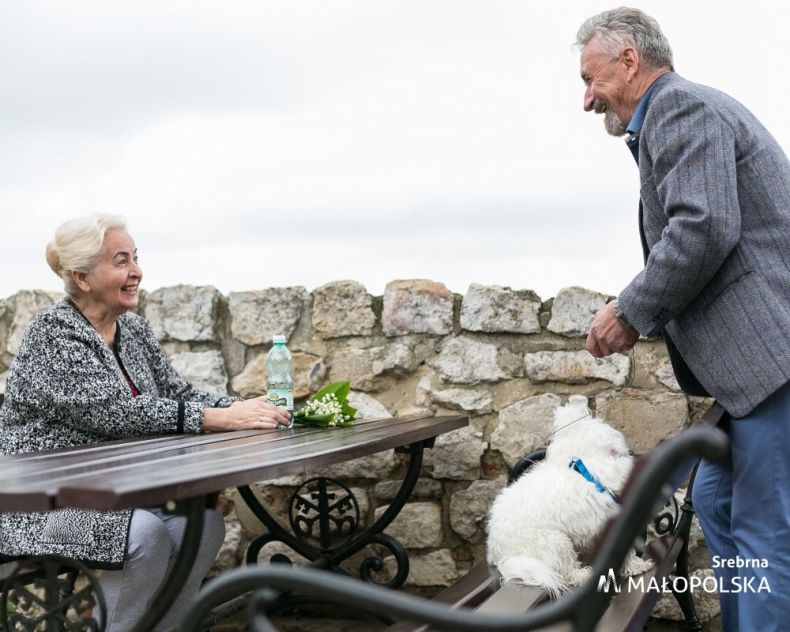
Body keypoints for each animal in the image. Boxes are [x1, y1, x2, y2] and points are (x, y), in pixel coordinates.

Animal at [488, 396, 656, 596]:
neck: (589, 470)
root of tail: (500, 554)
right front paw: (635, 565)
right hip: (555, 542)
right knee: (568, 571)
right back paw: (583, 575)